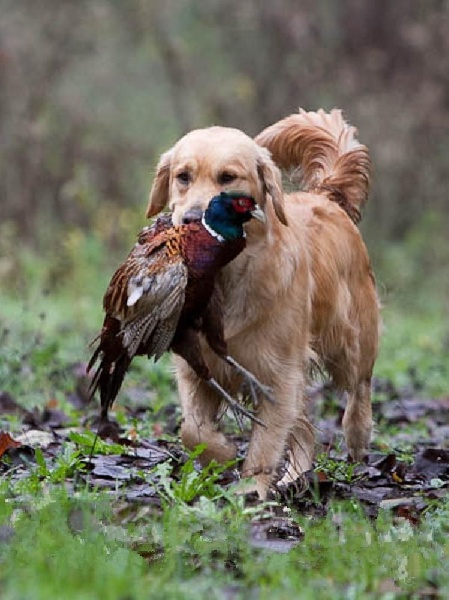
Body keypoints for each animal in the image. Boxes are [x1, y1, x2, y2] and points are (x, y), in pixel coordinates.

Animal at [145, 108, 376, 496]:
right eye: (183, 177)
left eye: (228, 177)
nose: (191, 219)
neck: (224, 276)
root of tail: (326, 196)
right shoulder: (196, 368)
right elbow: (193, 429)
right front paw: (220, 452)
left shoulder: (278, 373)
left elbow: (266, 440)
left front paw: (249, 490)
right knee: (303, 428)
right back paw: (294, 476)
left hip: (350, 341)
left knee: (359, 386)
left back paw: (357, 437)